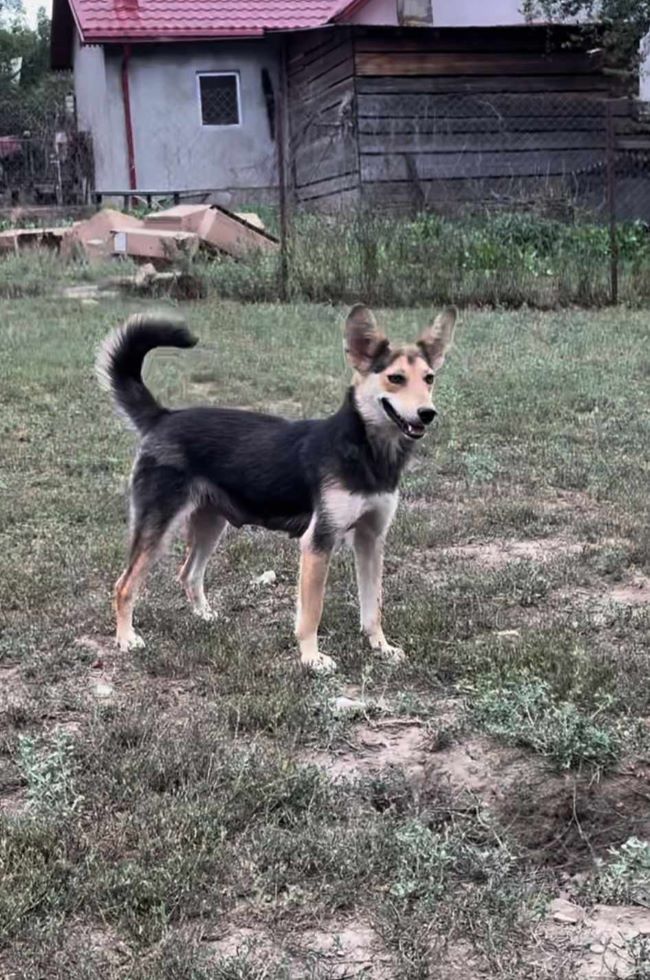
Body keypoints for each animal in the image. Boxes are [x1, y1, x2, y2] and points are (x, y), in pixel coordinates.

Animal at [97, 306, 456, 672]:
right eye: (396, 378)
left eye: (429, 378)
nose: (428, 413)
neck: (366, 451)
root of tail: (163, 417)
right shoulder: (318, 542)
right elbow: (311, 612)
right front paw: (312, 658)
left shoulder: (371, 539)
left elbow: (373, 606)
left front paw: (381, 646)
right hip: (158, 526)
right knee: (124, 586)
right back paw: (126, 639)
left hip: (211, 523)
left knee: (188, 574)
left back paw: (205, 616)